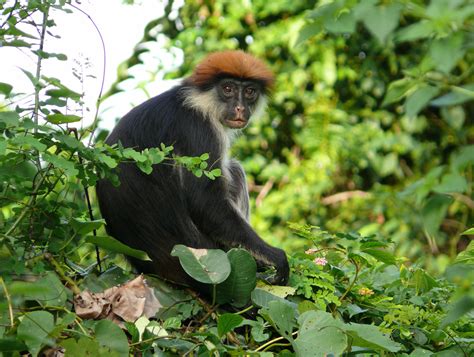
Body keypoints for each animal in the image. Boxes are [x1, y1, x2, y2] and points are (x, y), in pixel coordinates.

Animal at [96, 50, 288, 290]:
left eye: (250, 92)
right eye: (228, 89)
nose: (240, 108)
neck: (198, 103)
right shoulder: (199, 128)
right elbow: (204, 202)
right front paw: (274, 256)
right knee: (234, 170)